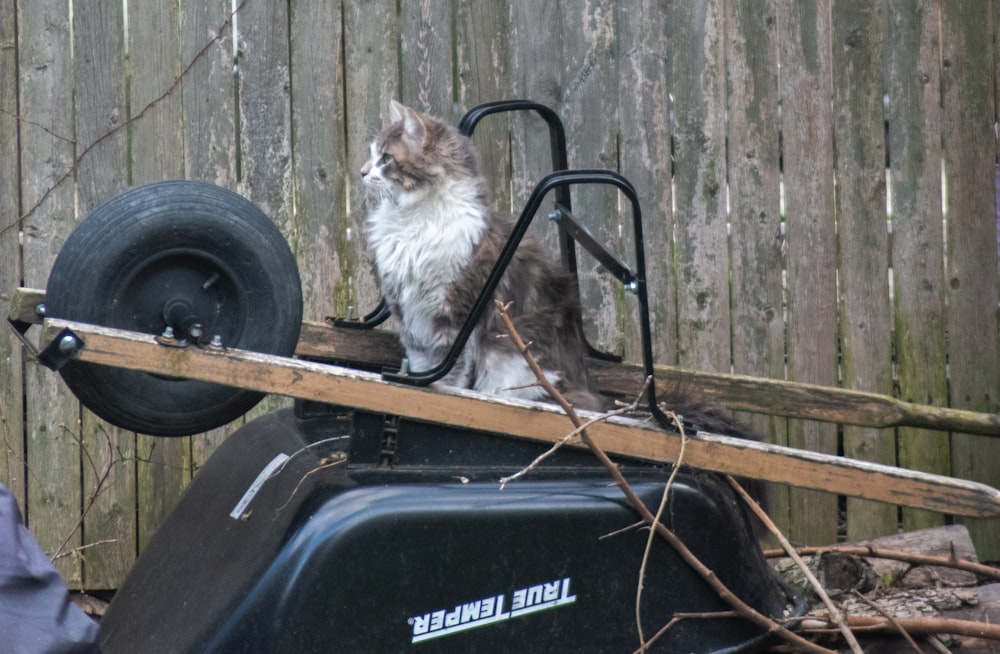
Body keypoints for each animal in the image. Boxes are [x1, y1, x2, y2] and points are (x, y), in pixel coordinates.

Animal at [366, 100, 604, 412]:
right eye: (371, 156)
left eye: (385, 159)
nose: (362, 173)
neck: (413, 220)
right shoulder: (409, 316)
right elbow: (419, 364)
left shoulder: (453, 314)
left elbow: (451, 370)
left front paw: (441, 395)